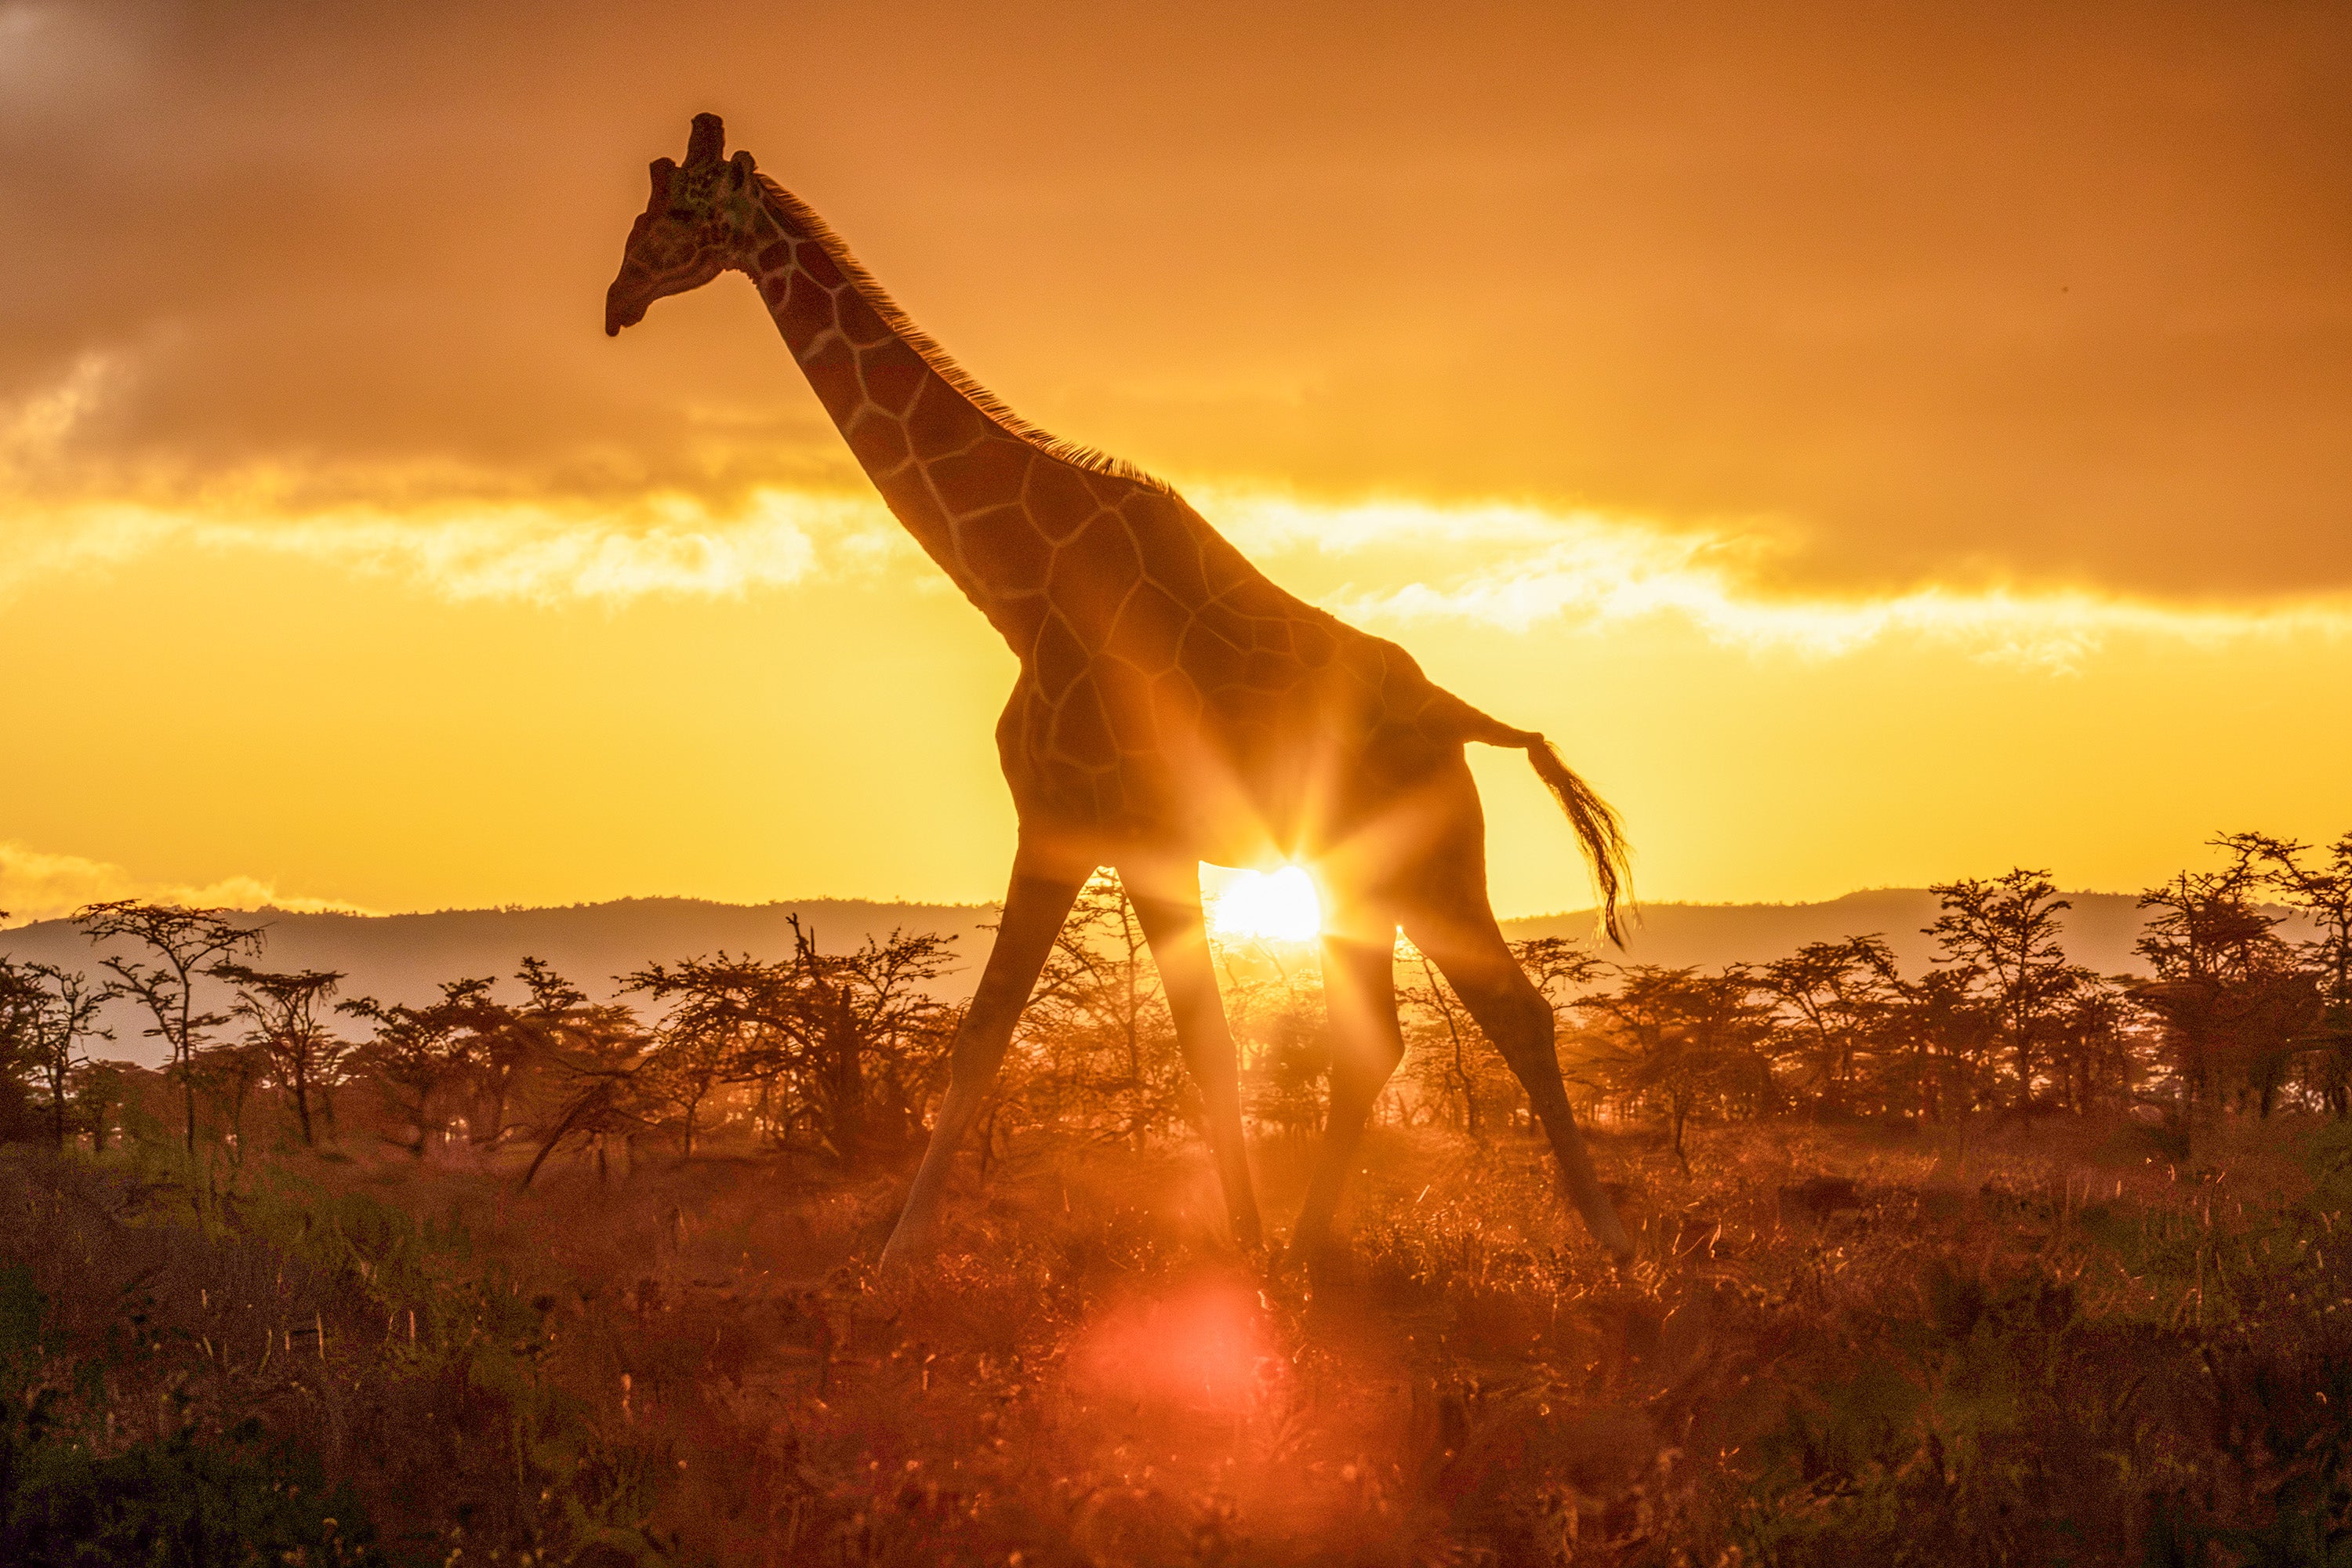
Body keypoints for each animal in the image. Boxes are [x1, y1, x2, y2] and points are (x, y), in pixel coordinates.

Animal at [606, 115, 1635, 1266]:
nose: (619, 296)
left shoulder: (1070, 820)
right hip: (1359, 875)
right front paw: (1247, 1247)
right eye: (646, 203)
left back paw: (1606, 1240)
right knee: (1381, 1038)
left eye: (688, 207)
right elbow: (1179, 1041)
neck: (1016, 583)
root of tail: (1467, 721)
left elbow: (1000, 1038)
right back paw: (1311, 1247)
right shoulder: (1121, 835)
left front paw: (895, 1255)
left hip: (1430, 864)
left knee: (1514, 1014)